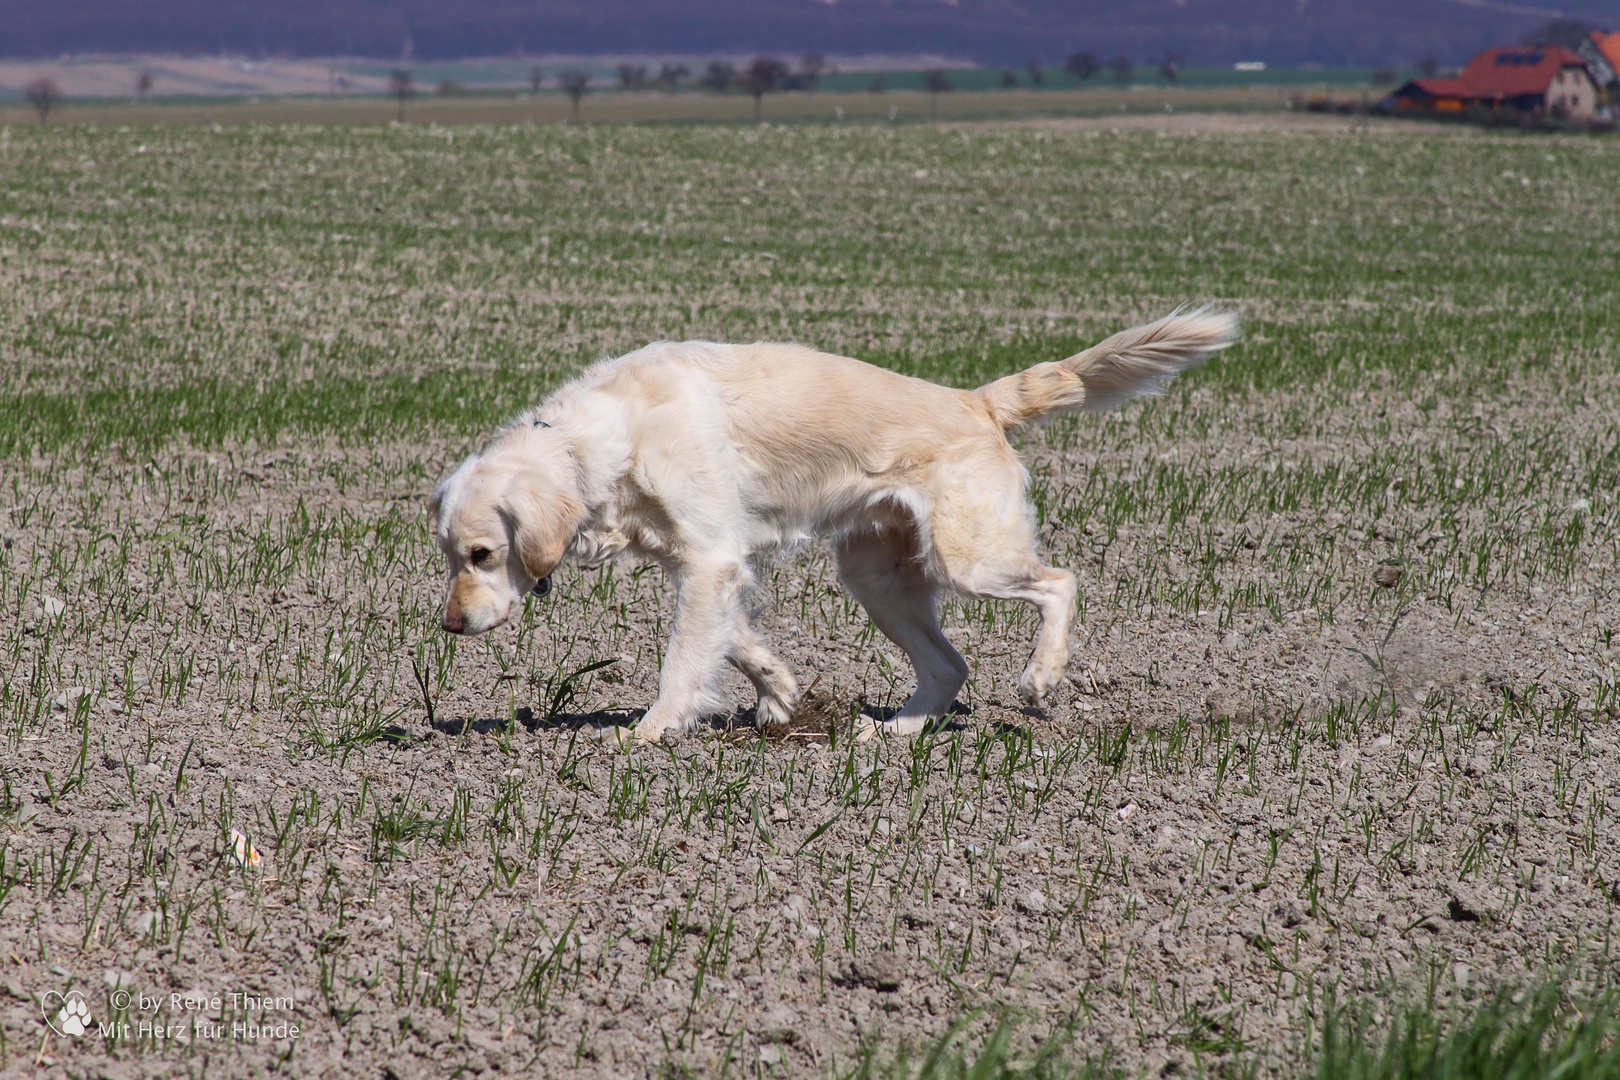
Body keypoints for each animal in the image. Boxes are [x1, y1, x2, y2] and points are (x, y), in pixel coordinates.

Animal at [430, 306, 1237, 744]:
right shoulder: (706, 565)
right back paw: (895, 732)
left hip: (969, 559)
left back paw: (1041, 677)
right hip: (878, 580)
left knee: (1061, 582)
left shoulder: (710, 560)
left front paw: (655, 729)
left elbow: (685, 659)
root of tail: (976, 401)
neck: (599, 436)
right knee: (949, 667)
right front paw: (781, 697)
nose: (451, 626)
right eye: (450, 557)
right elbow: (738, 644)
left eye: (482, 554)